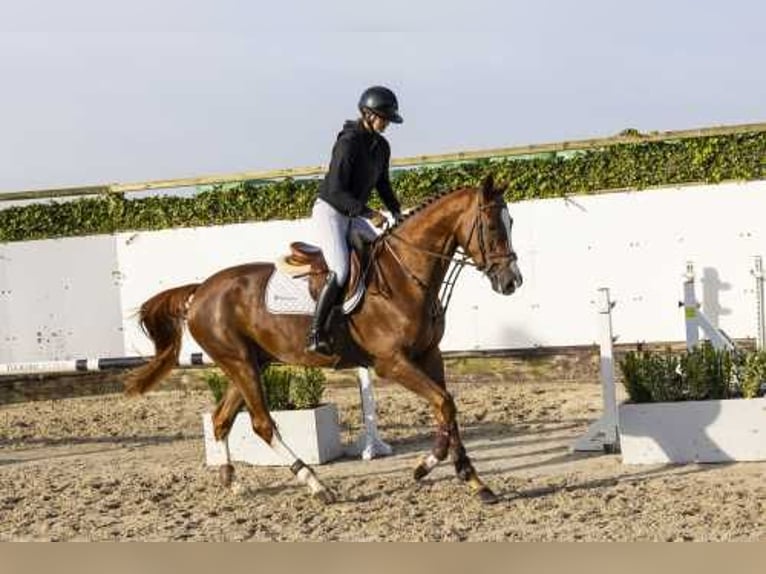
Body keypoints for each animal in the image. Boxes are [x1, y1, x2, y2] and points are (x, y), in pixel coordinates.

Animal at [124, 174, 520, 504]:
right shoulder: (392, 363)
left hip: (249, 364)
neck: (405, 274)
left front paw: (471, 481)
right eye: (490, 226)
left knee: (223, 420)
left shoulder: (429, 355)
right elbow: (443, 404)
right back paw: (317, 486)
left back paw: (232, 480)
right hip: (240, 363)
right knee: (262, 424)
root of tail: (200, 290)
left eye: (511, 223)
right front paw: (428, 466)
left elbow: (447, 409)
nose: (511, 281)